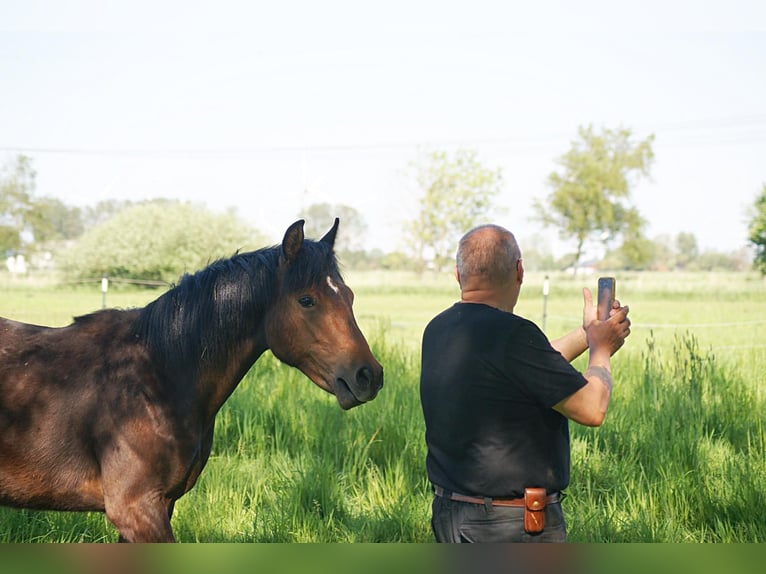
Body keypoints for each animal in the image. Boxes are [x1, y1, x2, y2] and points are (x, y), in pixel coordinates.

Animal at [0, 219, 384, 544]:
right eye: (306, 300)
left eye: (349, 296)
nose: (369, 375)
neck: (158, 377)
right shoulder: (137, 510)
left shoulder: (159, 506)